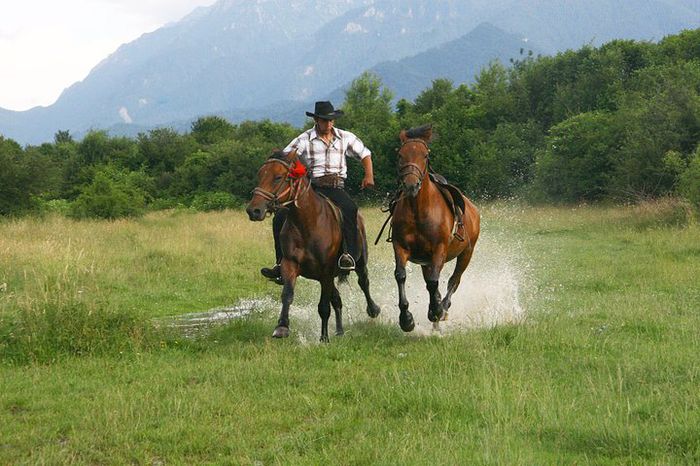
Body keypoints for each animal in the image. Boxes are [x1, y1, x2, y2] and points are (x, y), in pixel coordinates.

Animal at [247, 150, 380, 342]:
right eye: (260, 175)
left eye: (278, 177)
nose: (254, 210)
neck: (307, 223)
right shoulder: (290, 264)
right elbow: (287, 295)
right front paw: (282, 327)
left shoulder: (326, 271)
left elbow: (323, 306)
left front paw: (323, 338)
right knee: (337, 299)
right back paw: (339, 331)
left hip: (359, 262)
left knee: (363, 282)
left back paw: (373, 310)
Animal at [388, 125, 482, 334]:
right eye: (400, 155)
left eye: (425, 155)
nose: (411, 185)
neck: (418, 210)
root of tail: (473, 209)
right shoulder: (401, 247)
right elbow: (401, 275)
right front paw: (406, 319)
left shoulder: (439, 249)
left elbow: (434, 282)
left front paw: (435, 311)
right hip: (426, 262)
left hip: (466, 253)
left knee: (454, 280)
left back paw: (442, 309)